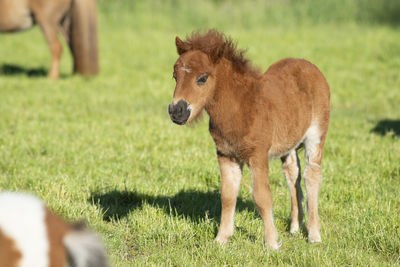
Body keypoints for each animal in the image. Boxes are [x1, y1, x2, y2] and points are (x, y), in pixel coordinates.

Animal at [169, 30, 332, 250]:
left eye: (202, 78)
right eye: (175, 76)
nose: (176, 111)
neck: (240, 107)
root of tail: (311, 67)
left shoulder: (258, 155)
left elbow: (262, 196)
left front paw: (271, 243)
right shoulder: (226, 155)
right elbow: (227, 195)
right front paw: (221, 239)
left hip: (316, 135)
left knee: (311, 176)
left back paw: (314, 235)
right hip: (288, 142)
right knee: (292, 174)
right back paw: (294, 228)